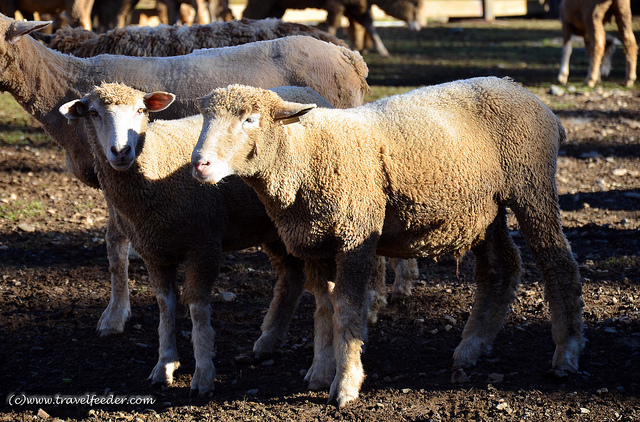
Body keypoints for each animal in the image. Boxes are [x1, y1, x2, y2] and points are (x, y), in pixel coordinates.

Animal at [192, 77, 588, 408]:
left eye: (250, 119)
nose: (199, 164)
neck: (307, 156)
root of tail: (531, 97)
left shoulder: (355, 236)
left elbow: (348, 309)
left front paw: (346, 385)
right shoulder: (316, 245)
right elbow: (323, 309)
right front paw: (320, 371)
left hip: (531, 187)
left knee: (558, 263)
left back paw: (566, 354)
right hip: (483, 209)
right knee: (500, 269)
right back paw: (471, 348)